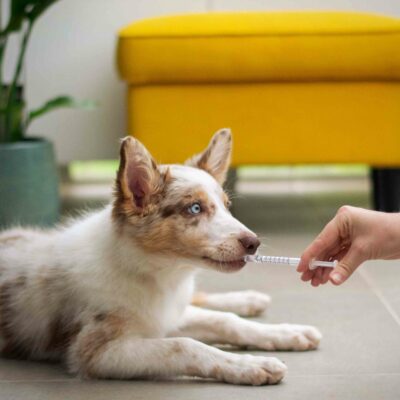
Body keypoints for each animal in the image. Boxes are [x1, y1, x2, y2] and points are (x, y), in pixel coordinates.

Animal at [0, 130, 320, 386]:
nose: (254, 244)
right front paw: (251, 364)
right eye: (194, 208)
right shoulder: (97, 351)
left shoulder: (166, 313)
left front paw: (285, 333)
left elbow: (225, 322)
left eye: (227, 206)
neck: (157, 273)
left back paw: (250, 300)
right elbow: (184, 345)